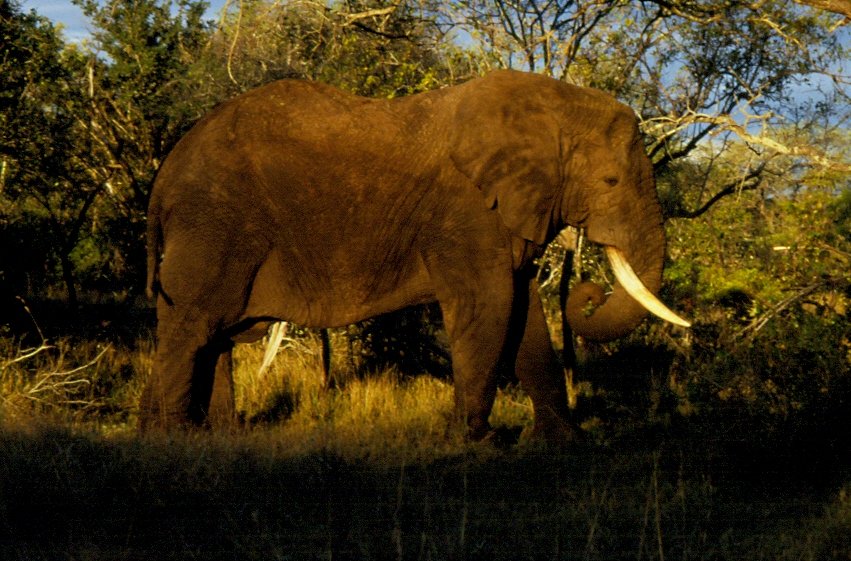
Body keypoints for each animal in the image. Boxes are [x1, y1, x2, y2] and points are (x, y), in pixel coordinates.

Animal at [143, 69, 688, 438]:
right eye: (611, 182)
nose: (589, 293)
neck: (547, 103)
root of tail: (164, 176)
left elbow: (525, 314)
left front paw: (565, 445)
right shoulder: (466, 212)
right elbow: (488, 306)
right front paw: (477, 445)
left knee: (214, 333)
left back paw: (217, 437)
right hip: (214, 222)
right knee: (192, 327)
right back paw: (176, 439)